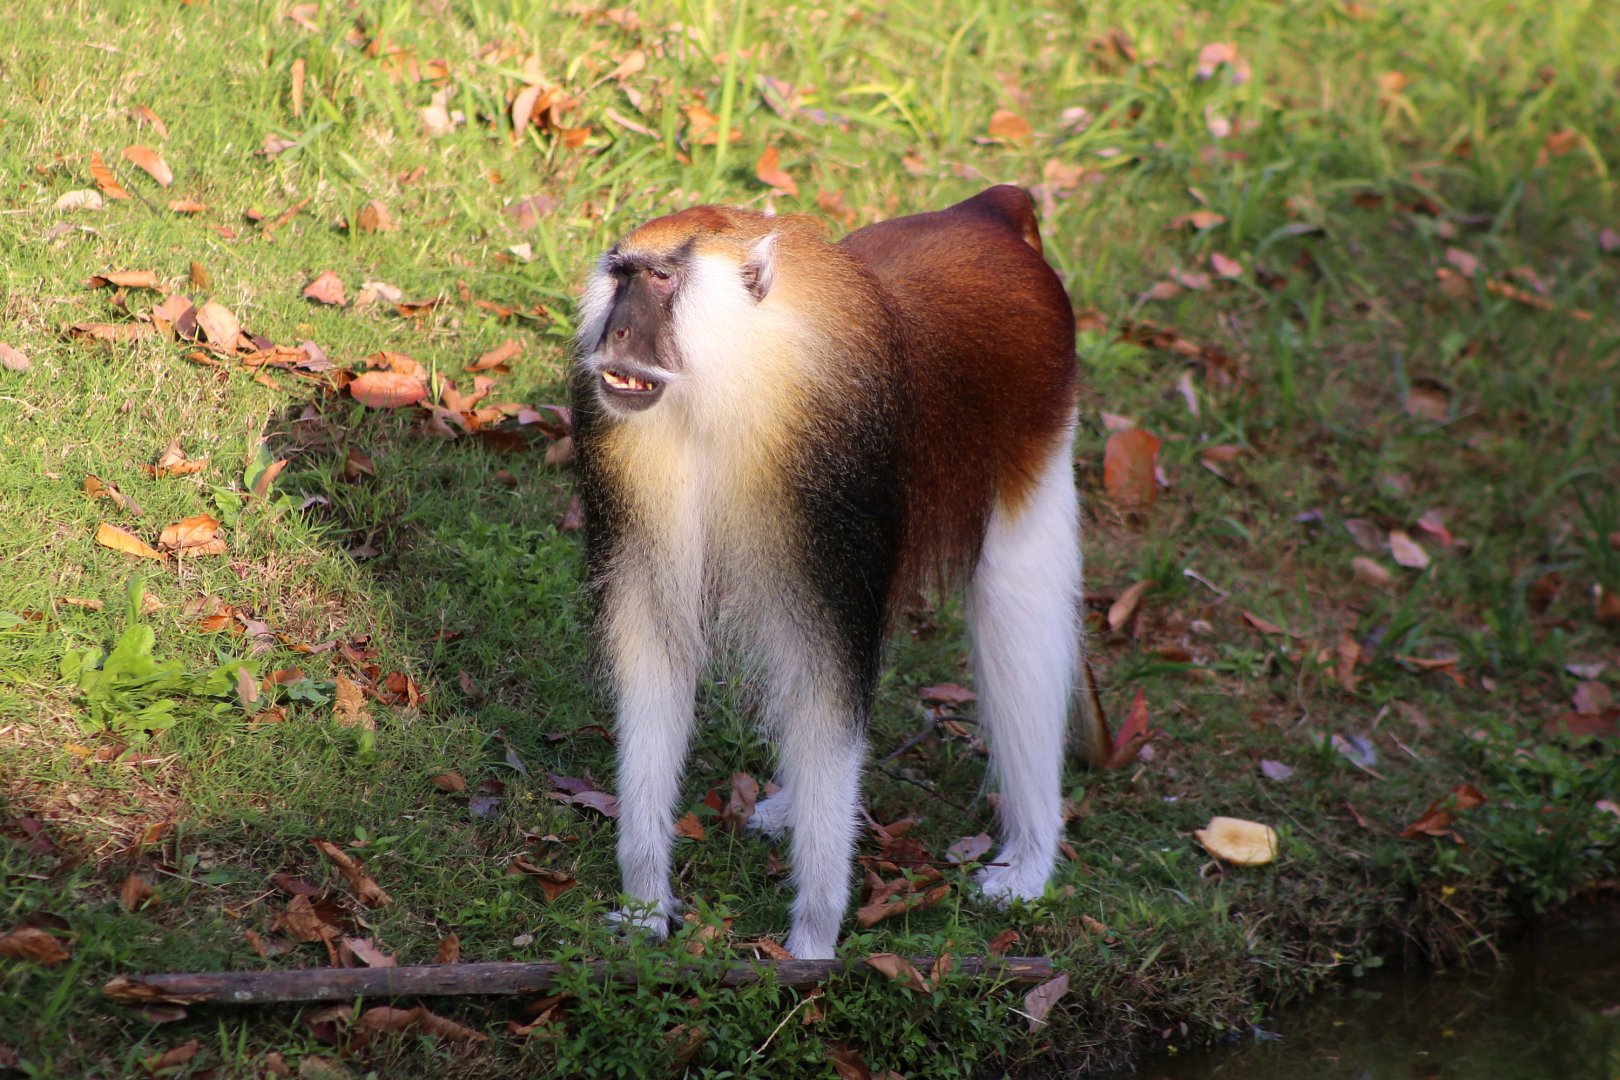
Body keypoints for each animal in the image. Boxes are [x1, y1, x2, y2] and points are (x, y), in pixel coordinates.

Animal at [571, 185, 1100, 961]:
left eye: (662, 281)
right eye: (622, 277)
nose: (617, 334)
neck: (748, 376)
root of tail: (987, 214)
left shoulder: (833, 489)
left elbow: (829, 683)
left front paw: (813, 945)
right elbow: (657, 655)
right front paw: (644, 906)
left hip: (1038, 409)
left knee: (1014, 594)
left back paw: (1031, 856)